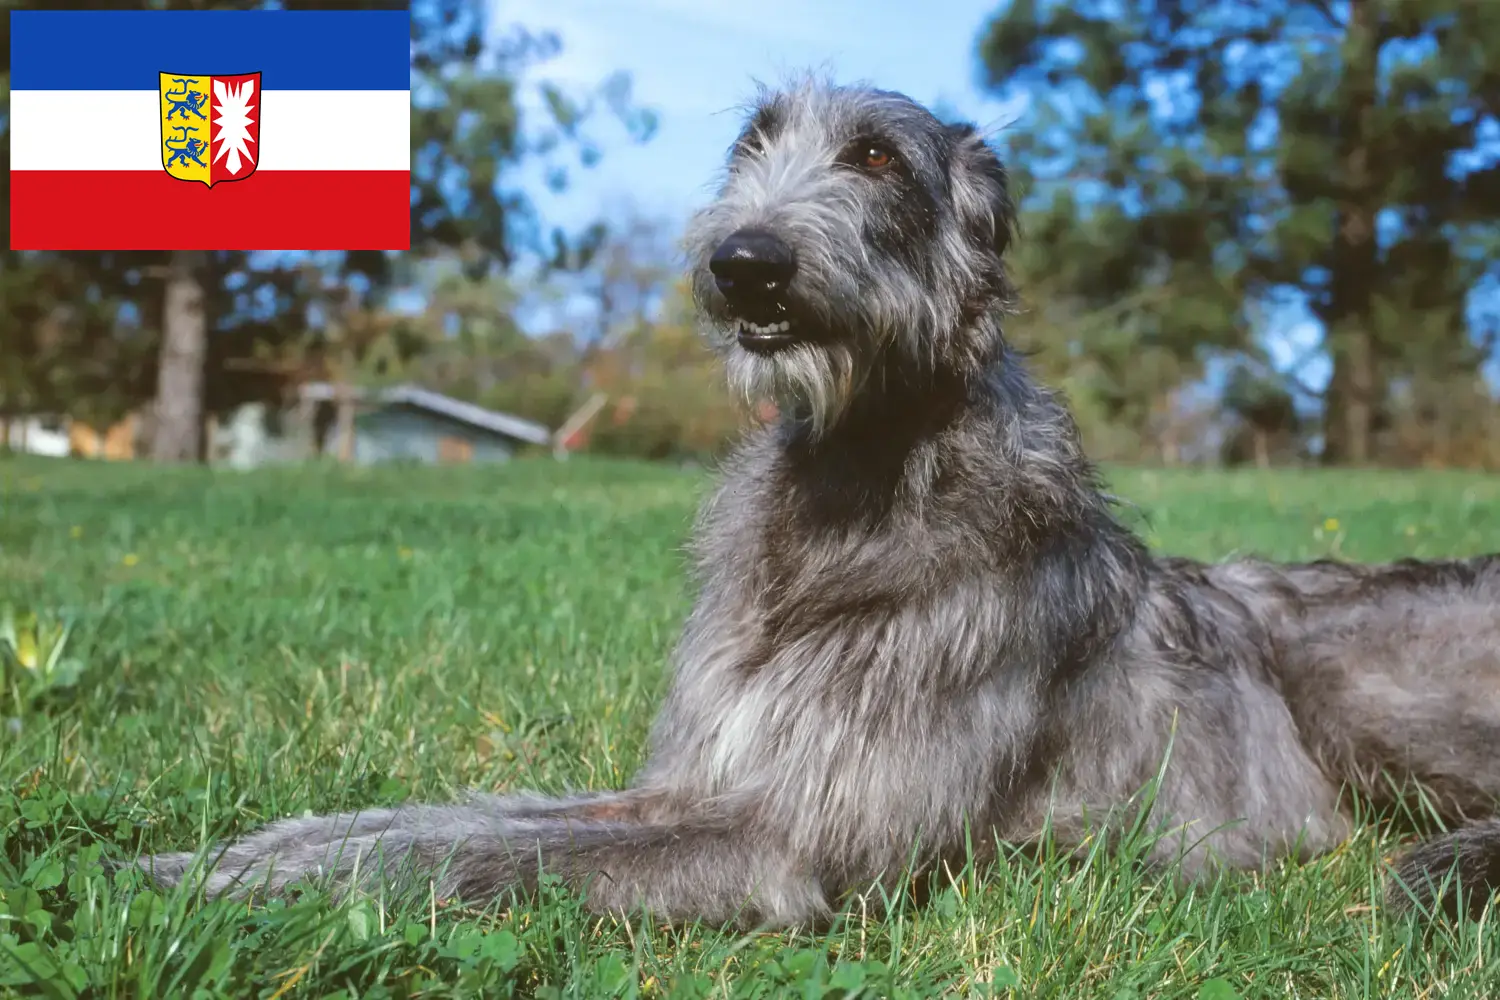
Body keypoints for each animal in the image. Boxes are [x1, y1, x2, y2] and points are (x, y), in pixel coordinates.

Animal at [138, 78, 1500, 929]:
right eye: (753, 142)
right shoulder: (690, 779)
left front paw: (250, 884)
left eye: (878, 157)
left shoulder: (790, 839)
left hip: (1347, 677)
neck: (855, 489)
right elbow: (457, 822)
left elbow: (498, 855)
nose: (744, 262)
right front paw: (238, 853)